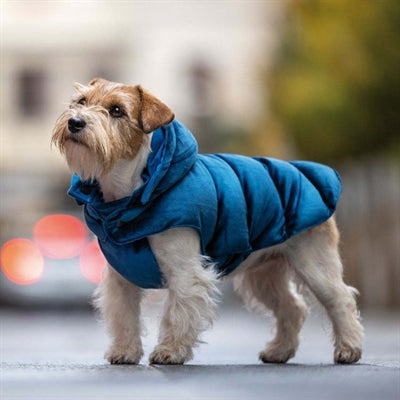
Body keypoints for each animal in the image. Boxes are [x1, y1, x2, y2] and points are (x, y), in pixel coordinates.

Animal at [52, 78, 362, 366]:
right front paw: (125, 351)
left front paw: (170, 351)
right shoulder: (121, 278)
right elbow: (124, 316)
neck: (128, 196)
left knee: (340, 299)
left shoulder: (184, 271)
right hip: (264, 275)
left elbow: (177, 314)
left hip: (314, 264)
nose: (75, 122)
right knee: (292, 308)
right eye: (81, 101)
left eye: (116, 110)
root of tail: (316, 172)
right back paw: (279, 351)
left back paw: (349, 349)